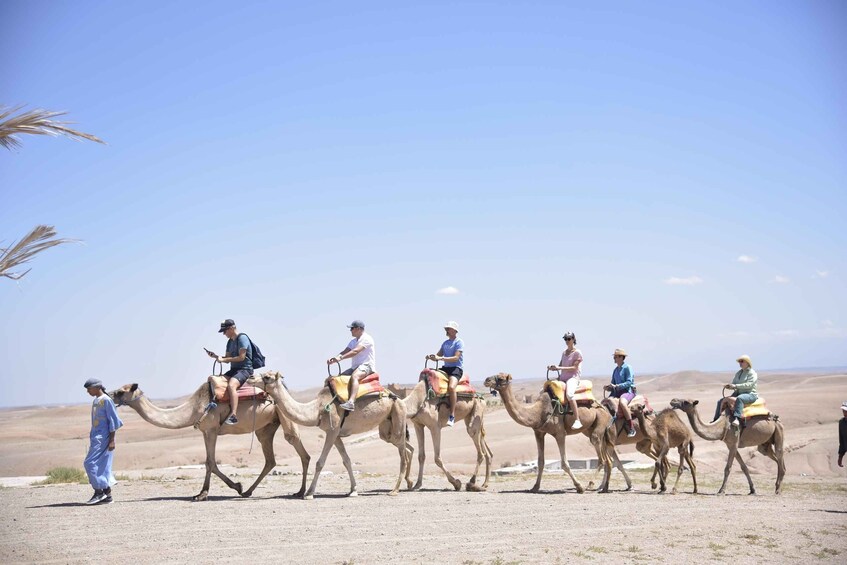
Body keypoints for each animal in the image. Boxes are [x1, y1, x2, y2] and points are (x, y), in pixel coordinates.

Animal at [109, 382, 312, 500]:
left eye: (120, 392)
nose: (106, 393)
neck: (193, 408)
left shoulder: (212, 429)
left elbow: (210, 463)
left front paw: (206, 493)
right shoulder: (205, 431)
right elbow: (210, 462)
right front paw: (232, 488)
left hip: (283, 414)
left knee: (297, 445)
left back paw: (301, 492)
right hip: (266, 426)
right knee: (270, 459)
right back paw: (248, 491)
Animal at [248, 370, 428, 498]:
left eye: (267, 377)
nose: (250, 377)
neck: (317, 409)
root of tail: (398, 398)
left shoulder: (332, 430)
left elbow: (320, 462)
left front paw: (309, 493)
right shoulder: (335, 435)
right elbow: (346, 460)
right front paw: (353, 490)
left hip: (398, 417)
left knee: (403, 454)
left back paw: (395, 490)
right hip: (386, 427)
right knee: (406, 448)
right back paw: (409, 483)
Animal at [484, 372, 624, 492]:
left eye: (501, 378)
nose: (486, 380)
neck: (538, 412)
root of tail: (604, 408)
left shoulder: (560, 433)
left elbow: (564, 463)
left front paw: (578, 486)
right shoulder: (538, 433)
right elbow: (540, 462)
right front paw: (535, 487)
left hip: (598, 427)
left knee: (602, 459)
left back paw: (589, 485)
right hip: (591, 430)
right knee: (608, 460)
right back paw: (604, 488)